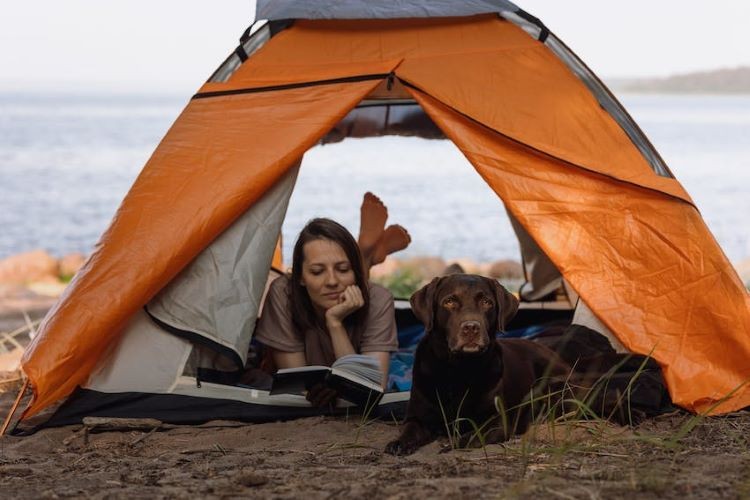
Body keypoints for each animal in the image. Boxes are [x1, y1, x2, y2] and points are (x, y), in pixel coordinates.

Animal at [384, 276, 572, 456]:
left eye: (487, 302)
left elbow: (473, 434)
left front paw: (450, 445)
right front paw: (399, 443)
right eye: (449, 301)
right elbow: (409, 430)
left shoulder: (497, 421)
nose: (471, 327)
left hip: (551, 385)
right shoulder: (417, 416)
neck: (457, 369)